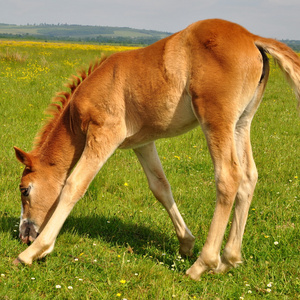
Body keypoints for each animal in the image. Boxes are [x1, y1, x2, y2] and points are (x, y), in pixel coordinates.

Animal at [14, 19, 300, 282]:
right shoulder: (142, 143)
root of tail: (252, 38)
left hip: (215, 118)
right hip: (241, 122)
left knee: (229, 176)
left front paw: (34, 252)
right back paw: (228, 259)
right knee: (249, 177)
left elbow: (73, 185)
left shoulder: (104, 134)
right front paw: (185, 242)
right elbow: (160, 187)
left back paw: (202, 264)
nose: (24, 235)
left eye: (24, 190)